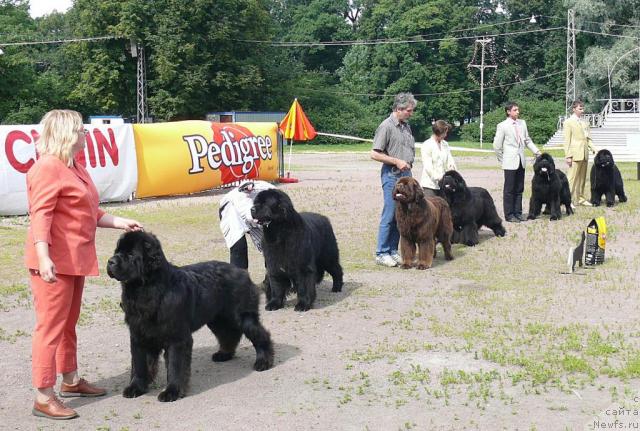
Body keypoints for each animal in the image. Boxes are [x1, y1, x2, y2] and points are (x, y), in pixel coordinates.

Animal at [105, 231, 276, 404]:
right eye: (116, 251)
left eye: (131, 254)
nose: (110, 261)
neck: (146, 290)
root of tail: (241, 271)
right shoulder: (139, 335)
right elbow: (139, 365)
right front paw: (135, 388)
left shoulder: (177, 338)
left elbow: (175, 365)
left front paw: (172, 391)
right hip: (217, 319)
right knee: (228, 334)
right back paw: (224, 354)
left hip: (242, 317)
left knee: (260, 335)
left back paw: (263, 362)